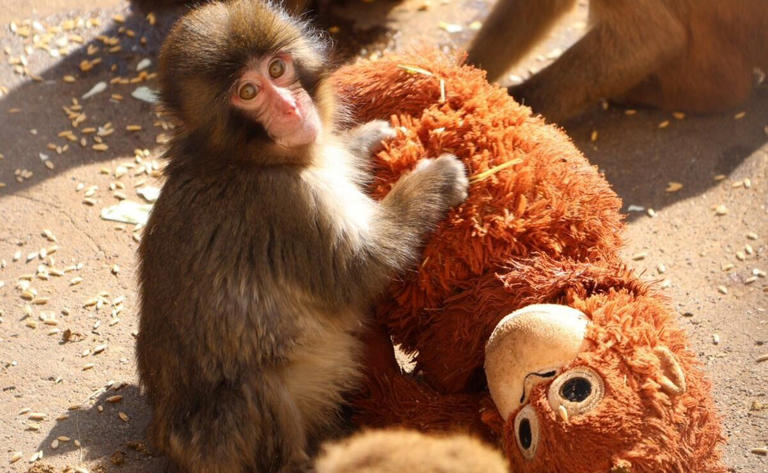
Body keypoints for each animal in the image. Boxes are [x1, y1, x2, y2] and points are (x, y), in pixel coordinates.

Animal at [135, 1, 469, 472]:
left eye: (277, 69)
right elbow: (359, 269)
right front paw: (434, 181)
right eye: (248, 92)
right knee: (256, 389)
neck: (243, 158)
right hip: (221, 439)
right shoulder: (287, 204)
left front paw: (366, 138)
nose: (292, 108)